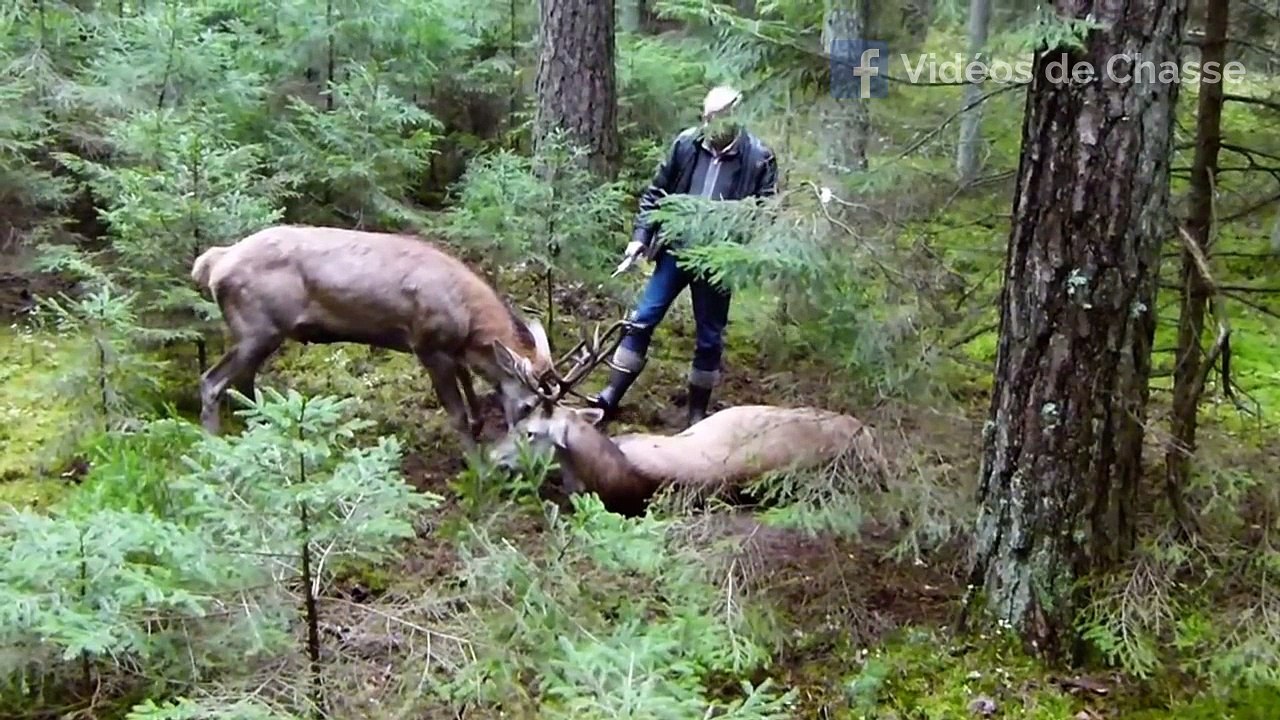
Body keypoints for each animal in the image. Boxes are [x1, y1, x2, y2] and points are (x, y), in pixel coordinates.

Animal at [189, 224, 589, 449]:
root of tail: (213, 263)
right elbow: (458, 413)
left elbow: (471, 394)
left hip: (260, 333)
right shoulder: (427, 344)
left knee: (242, 383)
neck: (468, 321)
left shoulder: (452, 349)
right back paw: (212, 446)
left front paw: (479, 431)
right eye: (528, 405)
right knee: (212, 381)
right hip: (258, 328)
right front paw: (475, 465)